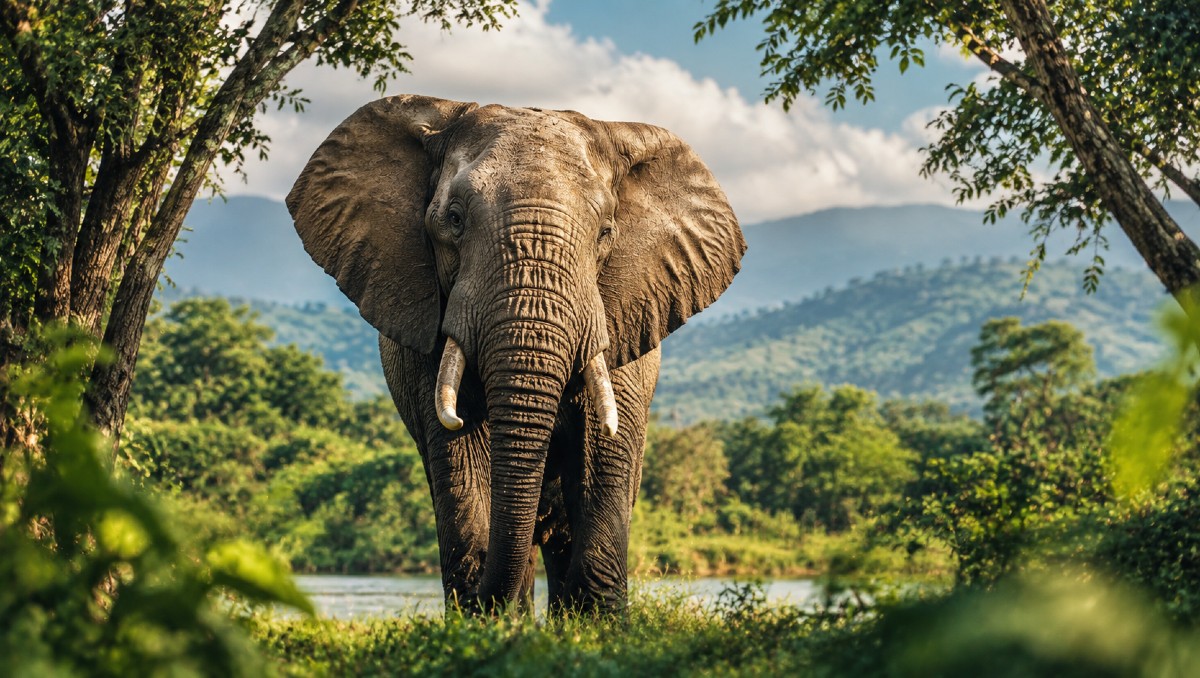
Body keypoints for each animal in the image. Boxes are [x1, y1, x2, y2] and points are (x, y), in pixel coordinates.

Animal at [287, 94, 745, 613]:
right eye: (454, 220)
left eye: (605, 233)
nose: (486, 601)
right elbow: (461, 455)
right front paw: (481, 622)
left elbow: (603, 450)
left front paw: (599, 624)